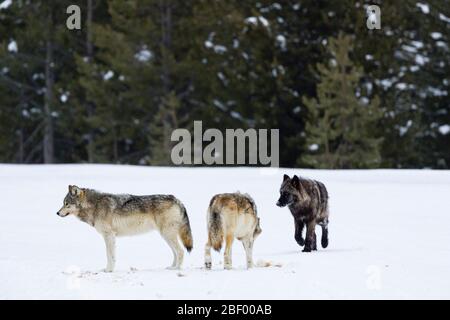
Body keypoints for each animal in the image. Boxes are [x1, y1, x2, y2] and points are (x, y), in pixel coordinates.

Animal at [55, 185, 192, 272]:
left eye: (66, 204)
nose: (57, 213)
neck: (94, 206)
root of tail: (178, 200)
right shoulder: (110, 236)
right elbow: (111, 255)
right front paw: (108, 269)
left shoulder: (109, 236)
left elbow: (109, 255)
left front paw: (108, 270)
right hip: (165, 236)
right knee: (175, 252)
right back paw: (171, 267)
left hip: (167, 234)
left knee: (180, 251)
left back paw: (176, 269)